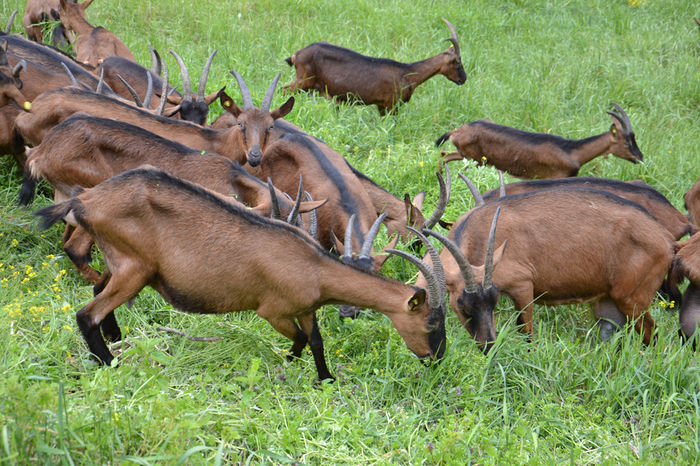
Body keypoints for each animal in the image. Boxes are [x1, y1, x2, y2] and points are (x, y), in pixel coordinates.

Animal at [32, 166, 448, 380]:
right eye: (431, 323)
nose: (437, 359)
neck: (313, 265)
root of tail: (85, 200)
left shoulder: (307, 307)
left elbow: (315, 340)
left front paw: (325, 378)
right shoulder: (273, 310)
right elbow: (300, 338)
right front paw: (286, 363)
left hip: (124, 264)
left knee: (98, 292)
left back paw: (117, 338)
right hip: (135, 269)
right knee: (86, 313)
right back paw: (110, 362)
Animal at [282, 18, 468, 114]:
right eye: (458, 62)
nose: (464, 79)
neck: (408, 73)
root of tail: (297, 54)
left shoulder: (380, 106)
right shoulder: (391, 105)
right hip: (303, 81)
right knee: (283, 90)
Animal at [416, 186, 680, 354]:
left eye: (490, 303)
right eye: (463, 306)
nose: (488, 347)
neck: (481, 229)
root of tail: (667, 240)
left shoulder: (523, 286)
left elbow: (526, 332)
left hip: (632, 300)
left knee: (654, 337)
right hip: (608, 302)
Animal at [438, 104, 644, 178]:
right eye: (627, 142)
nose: (640, 157)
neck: (571, 151)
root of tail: (456, 131)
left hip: (466, 155)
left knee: (444, 155)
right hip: (474, 159)